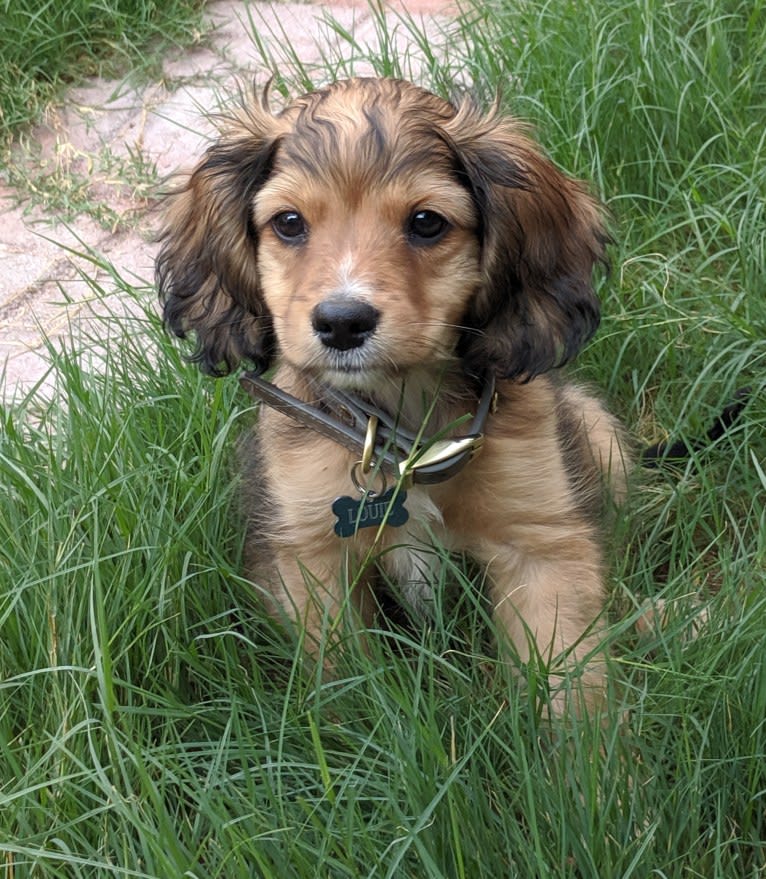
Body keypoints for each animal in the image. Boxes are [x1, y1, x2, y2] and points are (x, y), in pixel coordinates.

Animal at [158, 77, 632, 716]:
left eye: (427, 222)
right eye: (289, 222)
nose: (341, 322)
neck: (403, 433)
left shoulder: (542, 542)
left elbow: (572, 688)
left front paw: (586, 747)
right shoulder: (312, 556)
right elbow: (347, 686)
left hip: (598, 432)